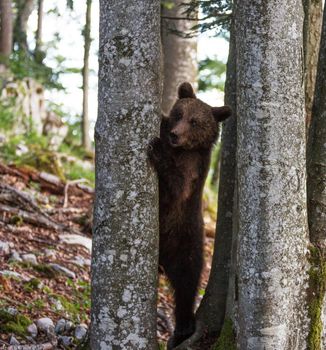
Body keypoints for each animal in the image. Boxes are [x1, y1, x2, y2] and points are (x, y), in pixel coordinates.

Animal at [148, 82, 232, 350]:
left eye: (195, 122)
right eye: (179, 114)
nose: (175, 134)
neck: (183, 149)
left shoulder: (192, 167)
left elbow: (178, 186)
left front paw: (156, 149)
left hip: (186, 243)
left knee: (186, 286)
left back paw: (183, 329)